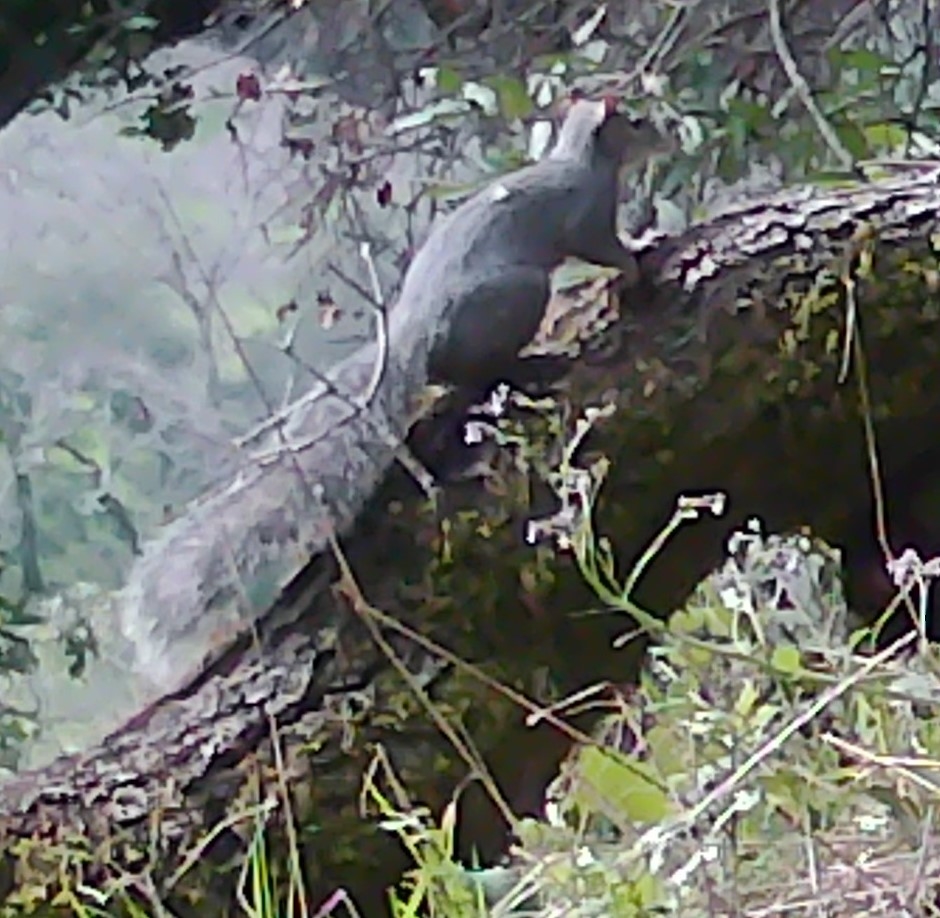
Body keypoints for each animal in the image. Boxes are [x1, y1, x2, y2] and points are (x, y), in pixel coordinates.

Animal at [118, 97, 673, 695]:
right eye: (635, 120)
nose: (665, 136)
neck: (582, 159)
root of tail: (415, 331)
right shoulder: (586, 218)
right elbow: (606, 249)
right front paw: (641, 251)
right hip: (521, 295)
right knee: (477, 375)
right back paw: (533, 363)